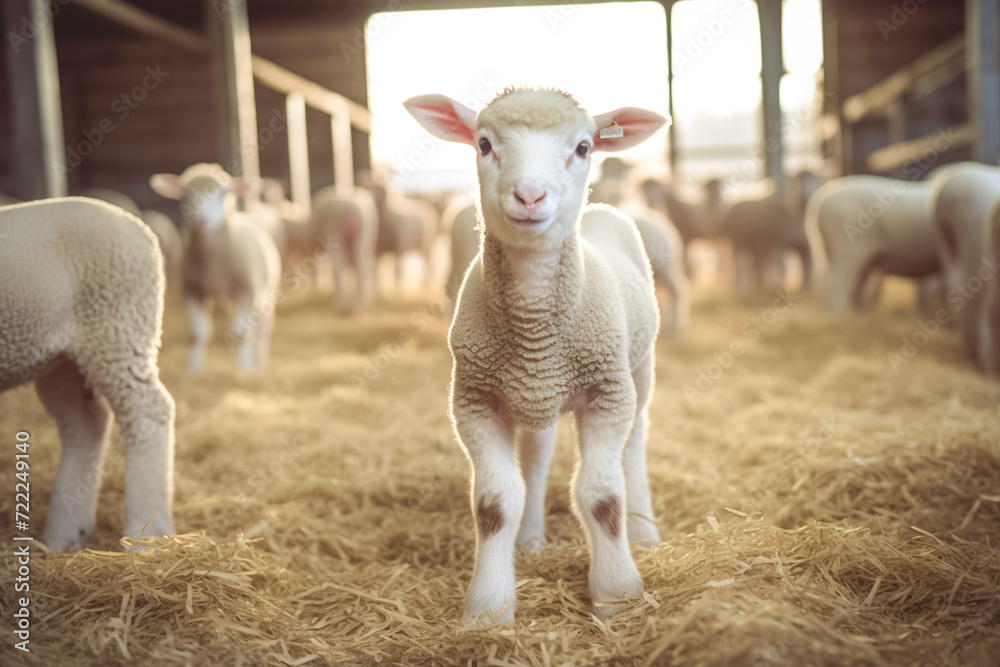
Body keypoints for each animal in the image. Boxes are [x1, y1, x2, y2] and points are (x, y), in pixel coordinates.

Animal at [0, 197, 175, 551]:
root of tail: (137, 225)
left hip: (118, 326)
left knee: (148, 411)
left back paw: (146, 535)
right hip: (61, 357)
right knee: (85, 423)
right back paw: (63, 538)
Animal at [149, 164, 282, 375]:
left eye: (224, 193)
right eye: (185, 194)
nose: (201, 221)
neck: (214, 270)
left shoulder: (248, 291)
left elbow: (240, 333)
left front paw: (242, 372)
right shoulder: (192, 291)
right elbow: (196, 334)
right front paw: (192, 373)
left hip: (267, 291)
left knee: (262, 329)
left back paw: (259, 363)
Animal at [309, 185, 380, 313]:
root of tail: (349, 207)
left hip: (336, 233)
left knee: (337, 269)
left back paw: (340, 307)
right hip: (357, 236)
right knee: (360, 269)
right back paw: (359, 308)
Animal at [406, 87, 667, 626]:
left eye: (584, 147)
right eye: (484, 144)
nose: (529, 196)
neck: (534, 326)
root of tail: (602, 207)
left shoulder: (608, 390)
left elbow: (602, 496)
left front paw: (618, 595)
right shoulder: (475, 398)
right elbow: (494, 503)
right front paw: (487, 608)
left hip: (639, 368)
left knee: (635, 444)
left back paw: (645, 531)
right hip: (534, 393)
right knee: (538, 455)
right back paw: (530, 539)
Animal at [805, 175, 939, 318]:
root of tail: (821, 200)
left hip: (841, 253)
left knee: (845, 283)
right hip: (846, 250)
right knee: (834, 282)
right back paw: (838, 316)